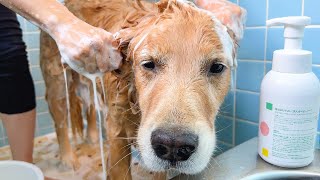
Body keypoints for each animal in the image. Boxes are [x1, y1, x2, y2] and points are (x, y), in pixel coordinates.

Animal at [40, 0, 242, 179]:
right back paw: (68, 160)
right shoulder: (116, 132)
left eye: (217, 67)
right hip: (57, 81)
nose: (173, 145)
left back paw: (93, 139)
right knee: (60, 123)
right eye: (148, 64)